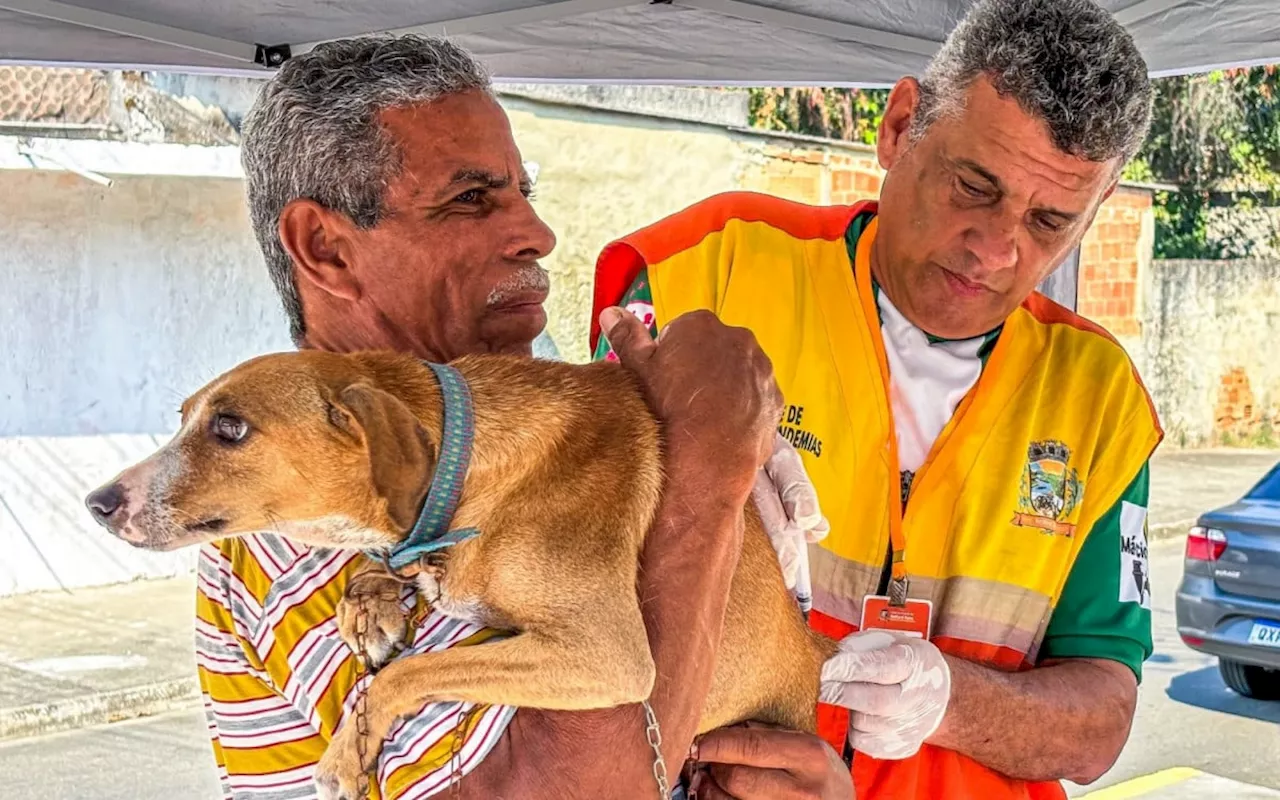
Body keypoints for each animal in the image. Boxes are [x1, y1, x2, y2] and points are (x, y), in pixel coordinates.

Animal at [82, 348, 839, 793]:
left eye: (231, 428)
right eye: (182, 417)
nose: (97, 502)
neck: (469, 468)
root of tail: (813, 654)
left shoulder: (609, 655)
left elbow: (411, 672)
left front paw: (348, 751)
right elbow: (382, 585)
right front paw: (372, 606)